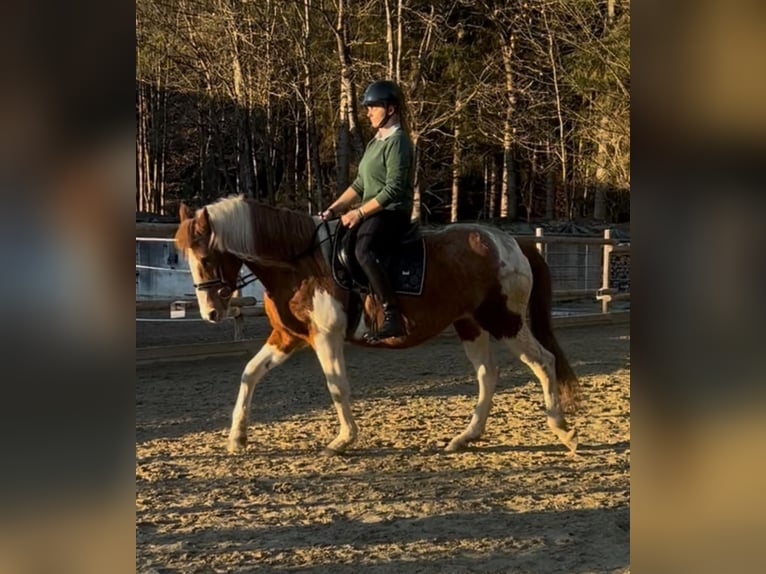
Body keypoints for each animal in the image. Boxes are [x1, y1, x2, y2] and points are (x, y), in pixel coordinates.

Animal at [174, 195, 580, 455]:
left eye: (206, 258)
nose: (210, 313)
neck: (301, 264)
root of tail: (509, 241)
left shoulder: (326, 337)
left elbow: (337, 386)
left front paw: (343, 441)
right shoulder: (288, 336)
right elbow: (249, 373)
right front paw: (237, 438)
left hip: (504, 320)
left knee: (543, 361)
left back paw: (562, 430)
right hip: (470, 324)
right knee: (487, 374)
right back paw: (466, 437)